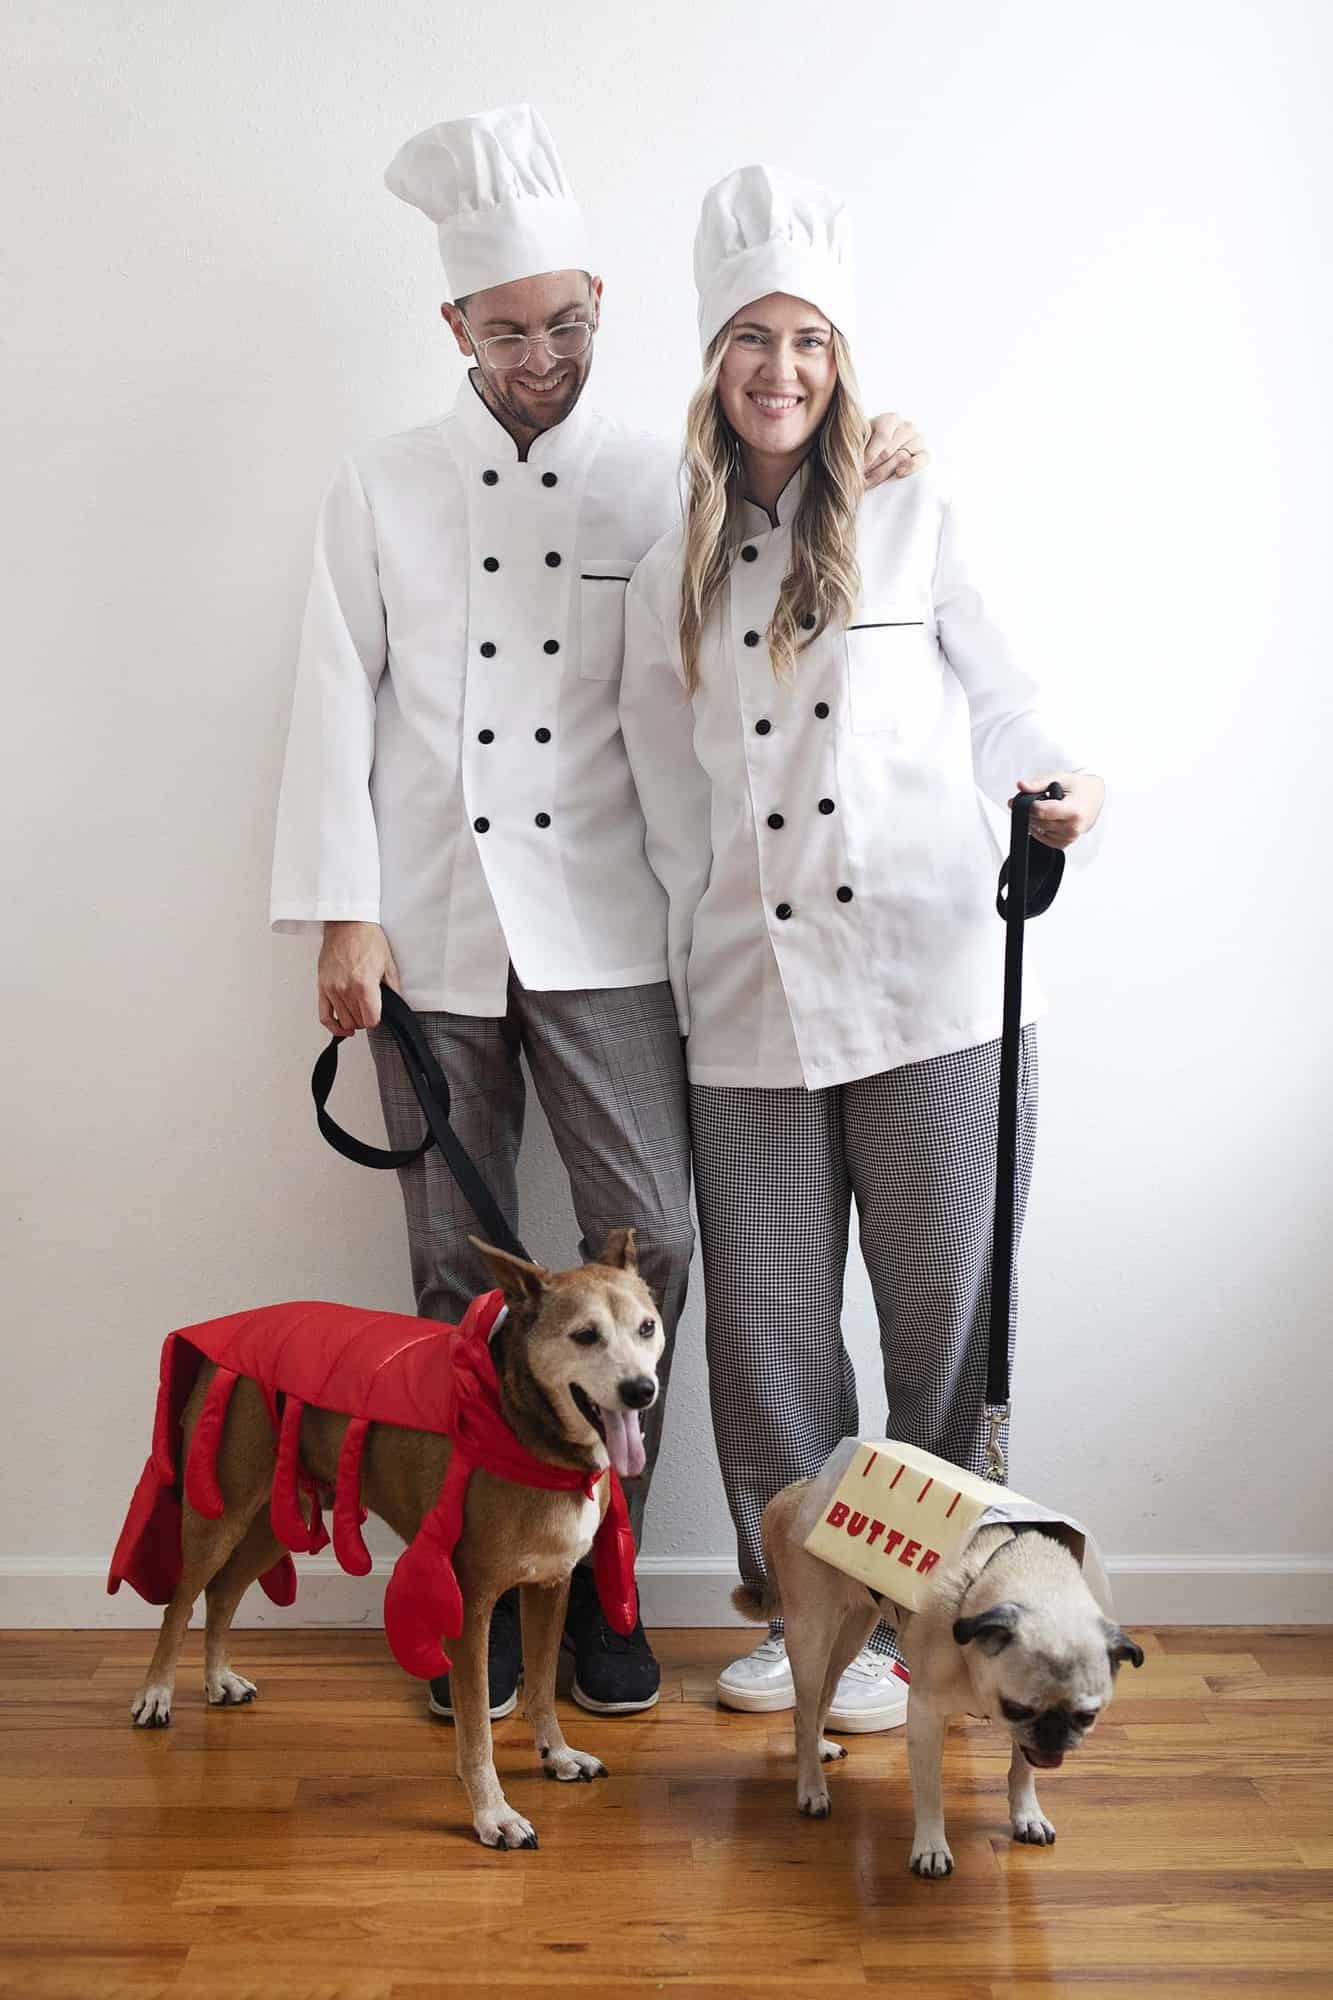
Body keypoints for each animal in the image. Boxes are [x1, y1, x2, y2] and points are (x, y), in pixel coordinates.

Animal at [130, 1224, 664, 1848]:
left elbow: (540, 1686)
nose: (641, 1389)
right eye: (585, 1335)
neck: (523, 1427)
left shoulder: (551, 1584)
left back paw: (218, 1680)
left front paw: (556, 1755)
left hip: (276, 1519)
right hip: (219, 1511)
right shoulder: (468, 1602)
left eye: (647, 1327)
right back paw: (156, 1694)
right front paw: (493, 1812)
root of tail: (227, 1334)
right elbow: (476, 1725)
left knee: (224, 1593)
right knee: (181, 1602)